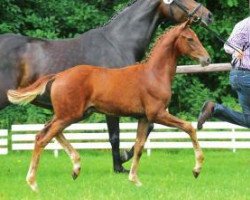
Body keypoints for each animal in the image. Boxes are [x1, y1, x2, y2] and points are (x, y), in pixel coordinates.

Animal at [0, 0, 213, 172]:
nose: (208, 15)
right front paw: (120, 165)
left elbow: (146, 129)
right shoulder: (114, 107)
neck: (118, 43)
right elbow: (115, 136)